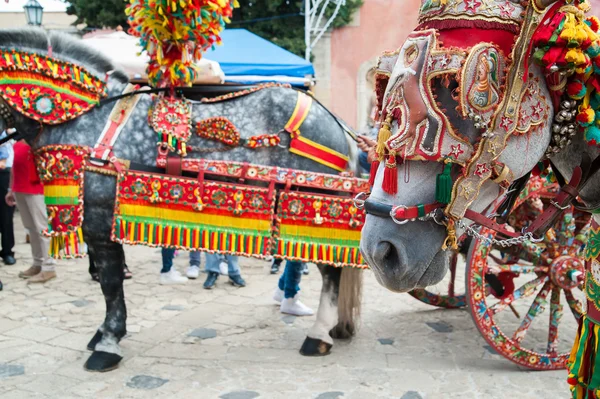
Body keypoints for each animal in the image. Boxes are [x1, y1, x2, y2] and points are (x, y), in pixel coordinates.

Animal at [0, 29, 360, 374]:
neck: (89, 120)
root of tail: (337, 124)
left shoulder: (100, 221)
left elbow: (110, 283)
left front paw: (107, 343)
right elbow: (109, 282)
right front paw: (105, 334)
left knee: (331, 269)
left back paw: (318, 335)